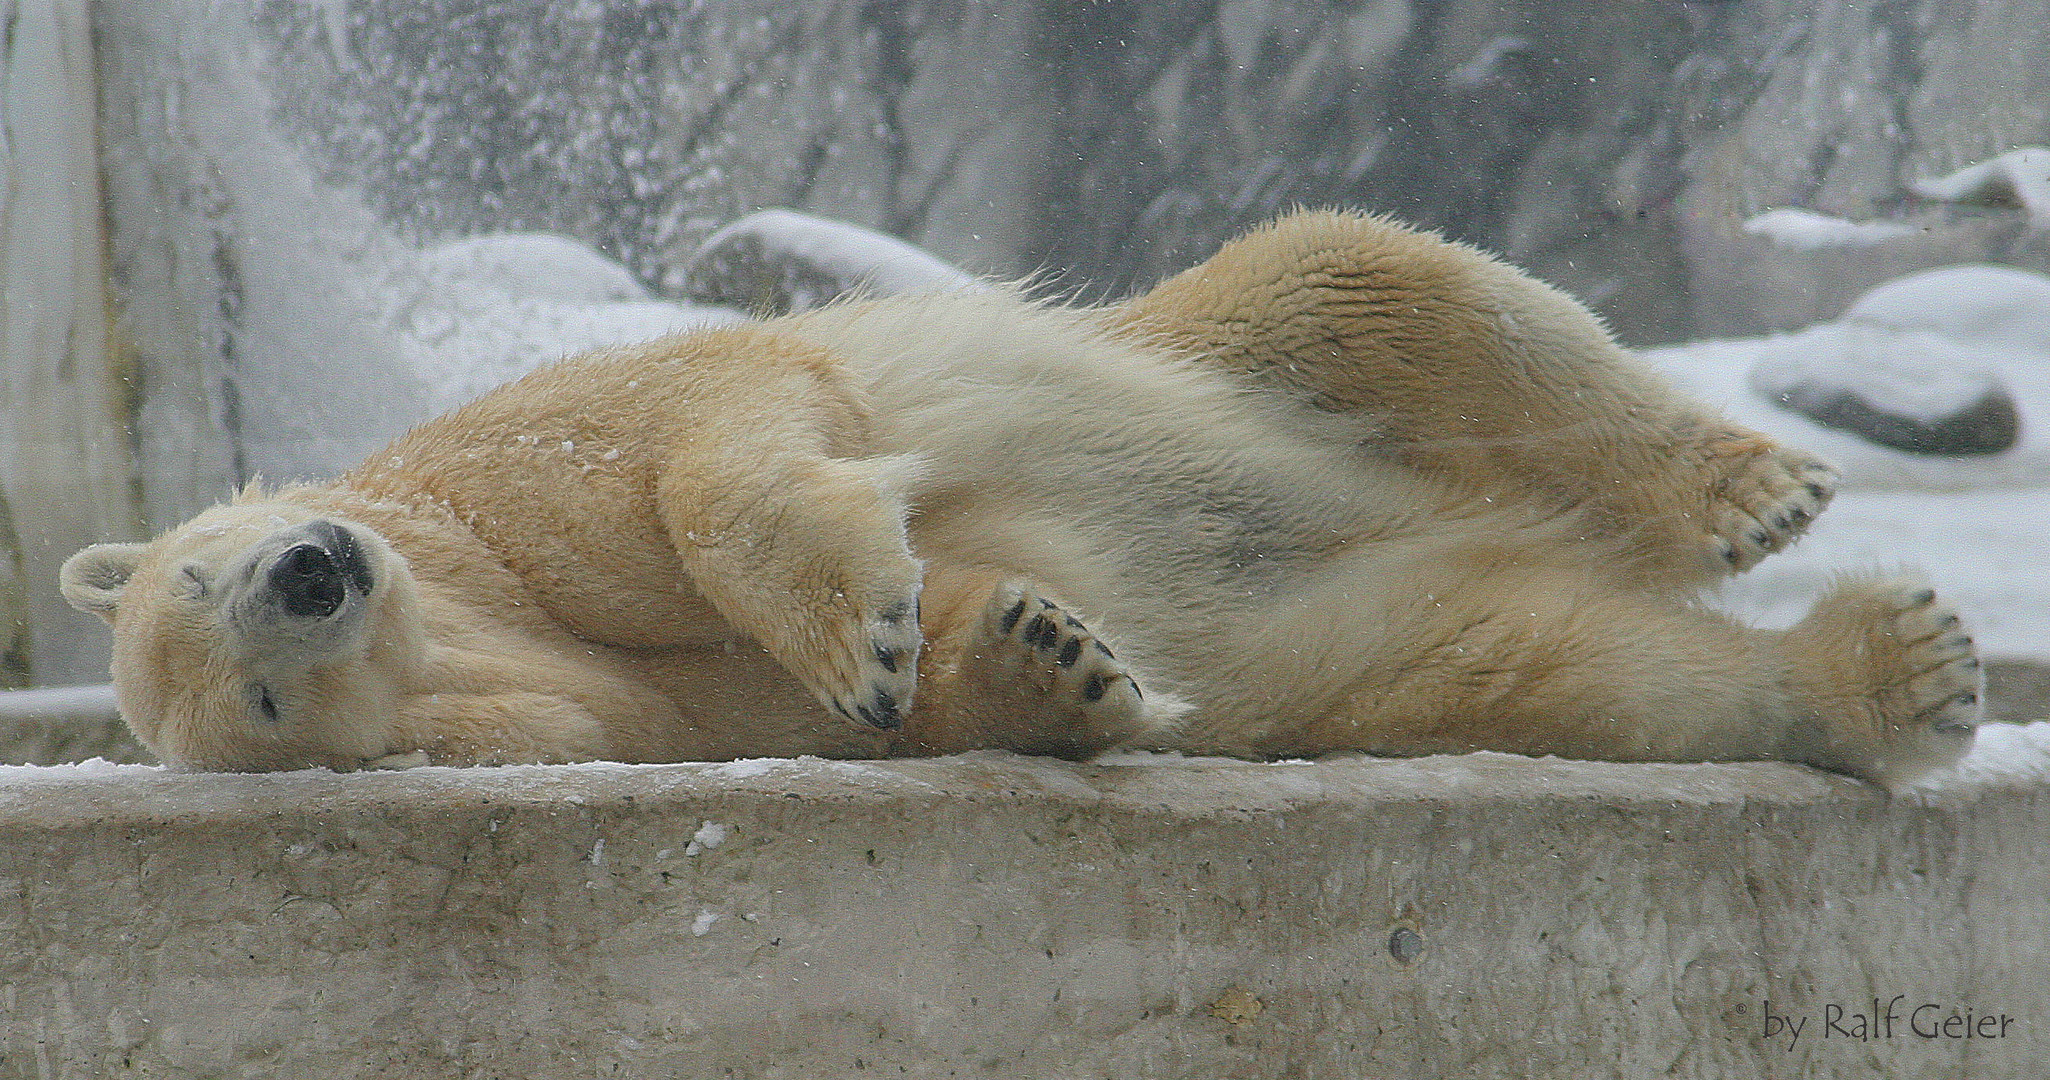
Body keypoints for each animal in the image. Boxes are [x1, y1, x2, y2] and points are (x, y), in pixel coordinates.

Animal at [68, 211, 1984, 786]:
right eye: (255, 701)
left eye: (196, 567)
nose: (310, 572)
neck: (487, 621)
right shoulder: (626, 718)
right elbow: (912, 699)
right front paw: (1047, 657)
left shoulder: (500, 477)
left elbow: (710, 444)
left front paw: (857, 614)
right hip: (1374, 627)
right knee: (1569, 665)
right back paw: (1885, 675)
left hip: (1230, 364)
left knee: (1372, 292)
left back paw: (1748, 491)